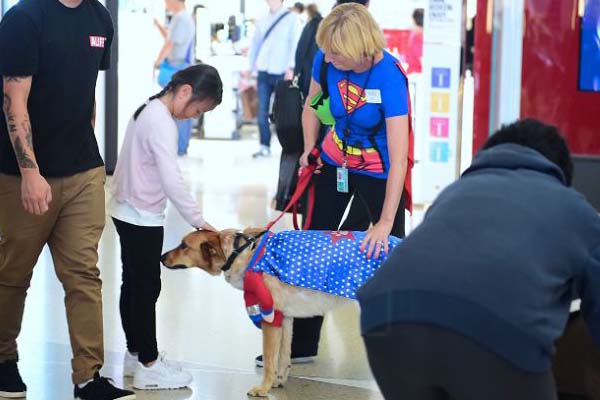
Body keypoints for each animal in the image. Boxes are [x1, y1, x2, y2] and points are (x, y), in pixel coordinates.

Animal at [162, 228, 400, 396]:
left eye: (183, 245)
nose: (162, 257)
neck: (242, 252)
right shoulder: (285, 318)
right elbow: (283, 355)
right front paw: (278, 381)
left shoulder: (270, 317)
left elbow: (269, 359)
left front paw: (263, 388)